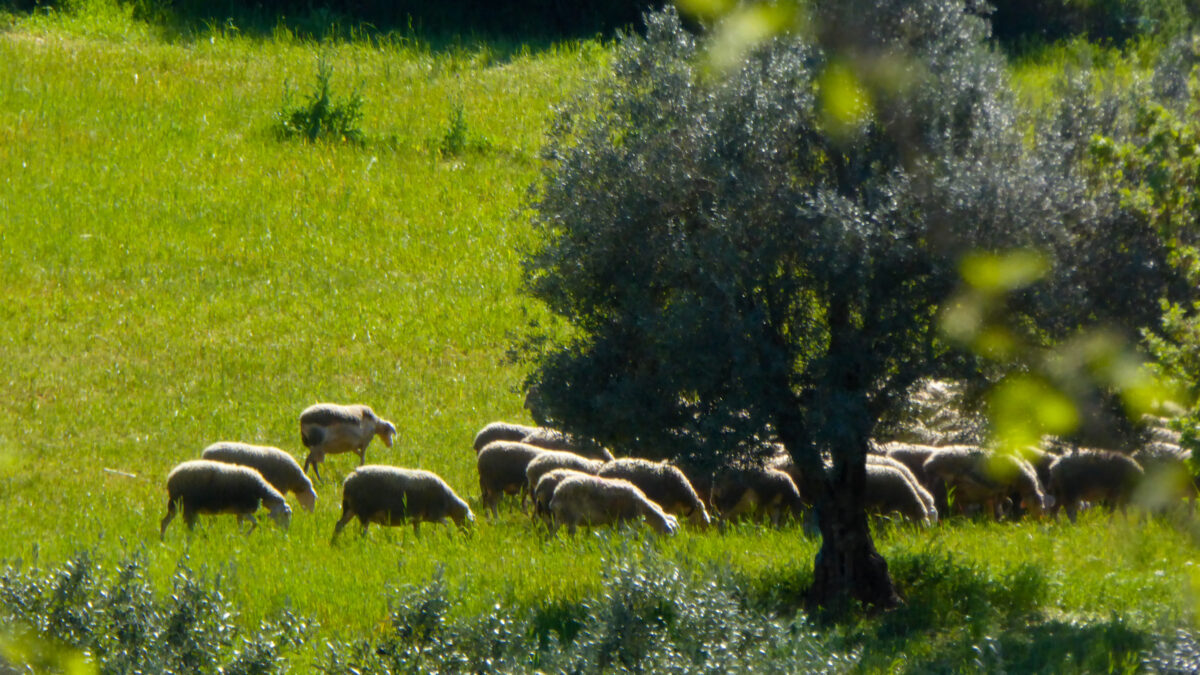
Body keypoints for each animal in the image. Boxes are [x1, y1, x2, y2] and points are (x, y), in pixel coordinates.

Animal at [160, 456, 291, 535]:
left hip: (183, 505)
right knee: (175, 524)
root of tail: (171, 477)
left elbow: (242, 526)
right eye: (286, 514)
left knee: (169, 522)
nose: (286, 532)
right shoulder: (243, 510)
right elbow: (256, 523)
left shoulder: (239, 513)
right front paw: (247, 536)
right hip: (184, 504)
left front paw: (241, 538)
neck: (261, 490)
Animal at [333, 466, 477, 538]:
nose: (470, 539)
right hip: (364, 511)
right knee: (362, 532)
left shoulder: (417, 519)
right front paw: (450, 536)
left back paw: (334, 544)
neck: (449, 503)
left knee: (339, 524)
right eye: (471, 523)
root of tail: (348, 481)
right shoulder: (434, 515)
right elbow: (447, 524)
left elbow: (418, 534)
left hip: (350, 508)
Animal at [549, 470, 681, 533]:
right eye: (671, 530)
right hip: (571, 516)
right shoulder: (624, 521)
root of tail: (556, 494)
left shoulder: (615, 522)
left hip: (560, 518)